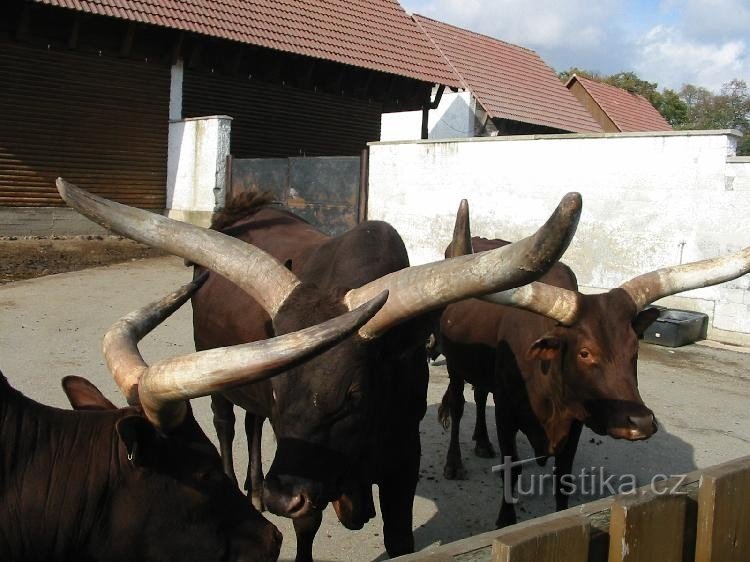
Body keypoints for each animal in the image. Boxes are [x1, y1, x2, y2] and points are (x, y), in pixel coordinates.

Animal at [57, 180, 588, 560]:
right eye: (280, 389)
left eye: (355, 396)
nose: (280, 499)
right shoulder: (303, 472)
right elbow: (306, 528)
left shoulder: (403, 460)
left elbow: (399, 540)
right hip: (213, 369)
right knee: (227, 424)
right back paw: (244, 486)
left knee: (252, 424)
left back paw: (254, 488)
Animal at [438, 199, 750, 528]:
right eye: (585, 353)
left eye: (634, 347)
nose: (640, 423)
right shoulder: (507, 414)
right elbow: (511, 471)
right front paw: (505, 519)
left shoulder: (574, 421)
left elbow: (563, 477)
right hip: (454, 366)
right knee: (458, 405)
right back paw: (454, 463)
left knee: (479, 393)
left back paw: (483, 442)